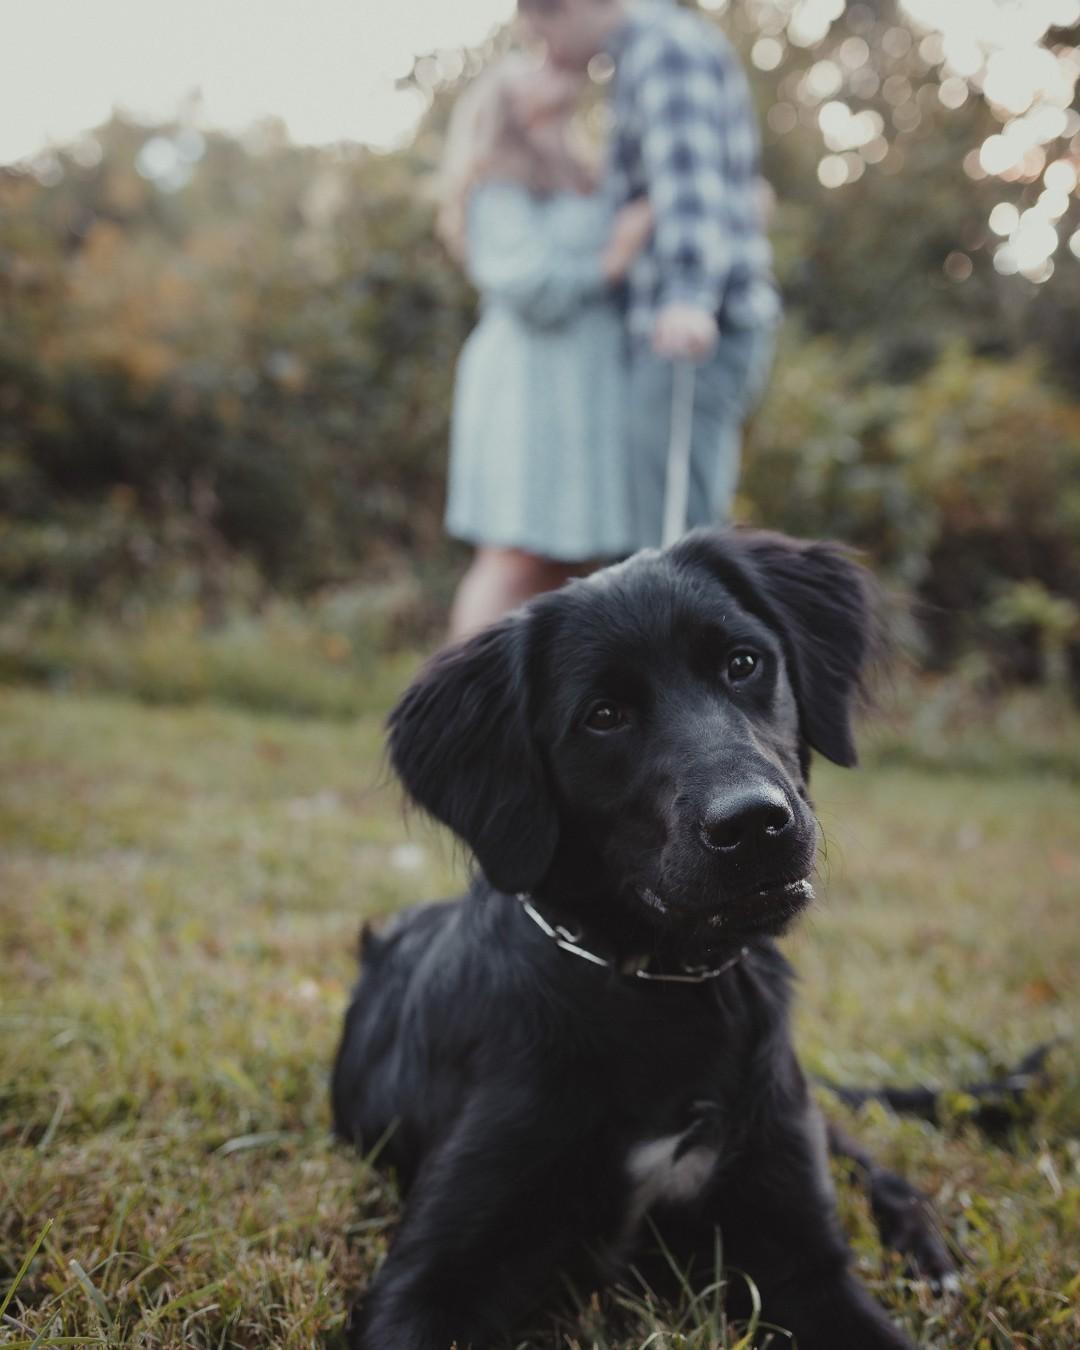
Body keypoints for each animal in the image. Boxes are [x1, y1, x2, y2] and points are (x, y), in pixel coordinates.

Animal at [334, 529, 918, 1350]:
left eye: (743, 664)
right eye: (603, 715)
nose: (753, 824)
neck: (660, 988)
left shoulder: (803, 1256)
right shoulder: (430, 1279)